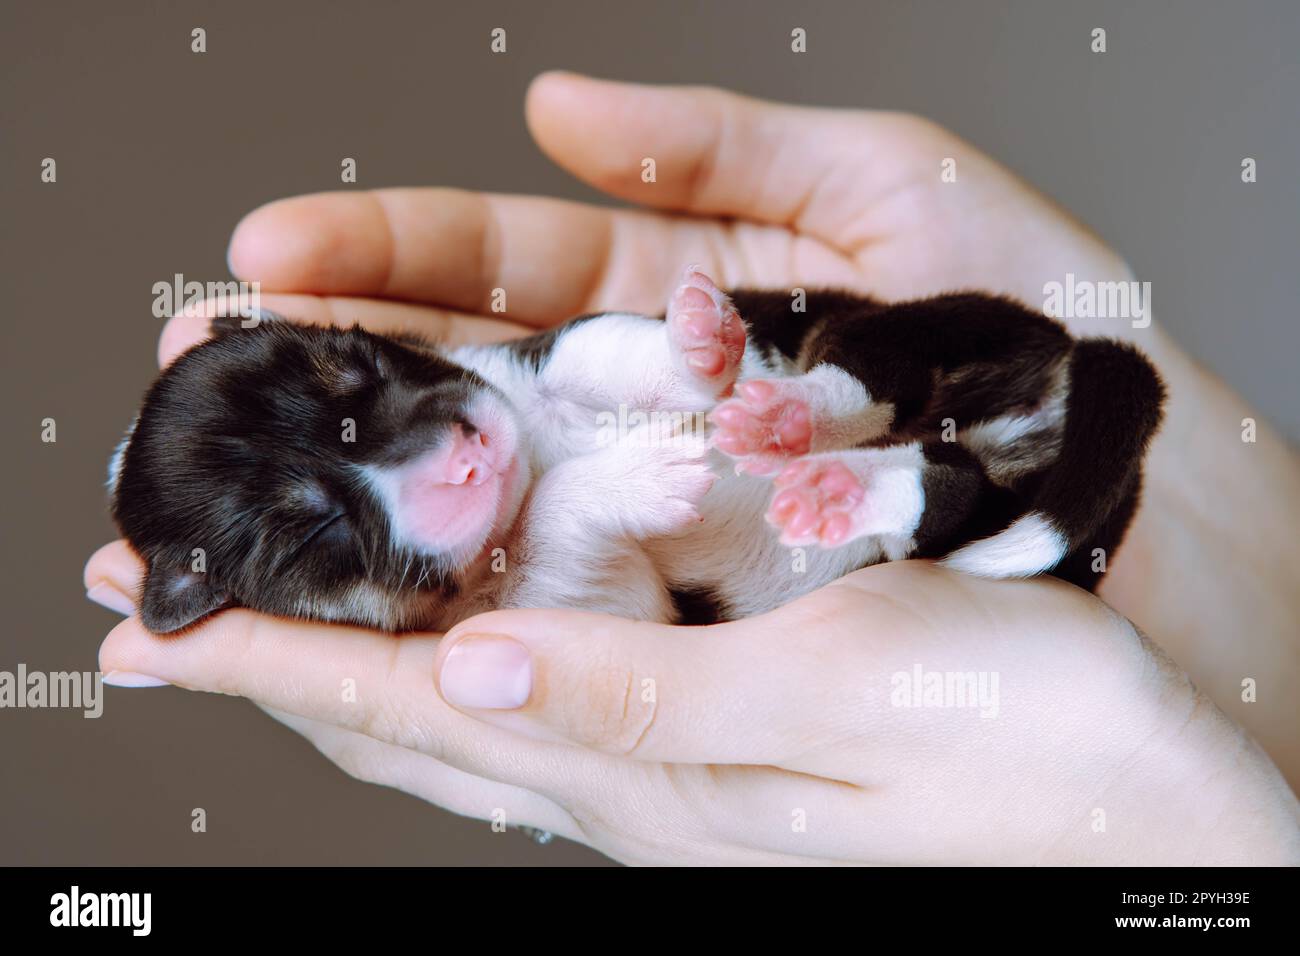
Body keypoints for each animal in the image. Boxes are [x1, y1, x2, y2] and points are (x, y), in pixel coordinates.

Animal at [109, 265, 1170, 632]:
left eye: (357, 362)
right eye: (314, 535)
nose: (467, 450)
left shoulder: (526, 356)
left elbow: (596, 345)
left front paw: (698, 348)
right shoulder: (579, 610)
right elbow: (560, 521)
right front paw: (650, 471)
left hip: (884, 323)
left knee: (877, 379)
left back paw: (783, 415)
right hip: (970, 495)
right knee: (943, 490)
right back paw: (831, 485)